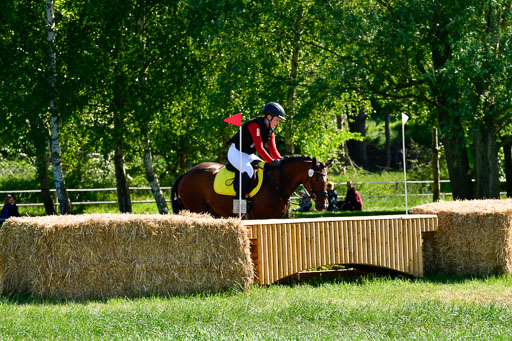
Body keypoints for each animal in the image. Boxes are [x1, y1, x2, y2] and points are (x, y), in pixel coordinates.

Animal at [170, 155, 334, 219]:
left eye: (327, 179)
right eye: (317, 178)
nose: (324, 205)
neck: (276, 183)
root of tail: (186, 174)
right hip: (196, 209)